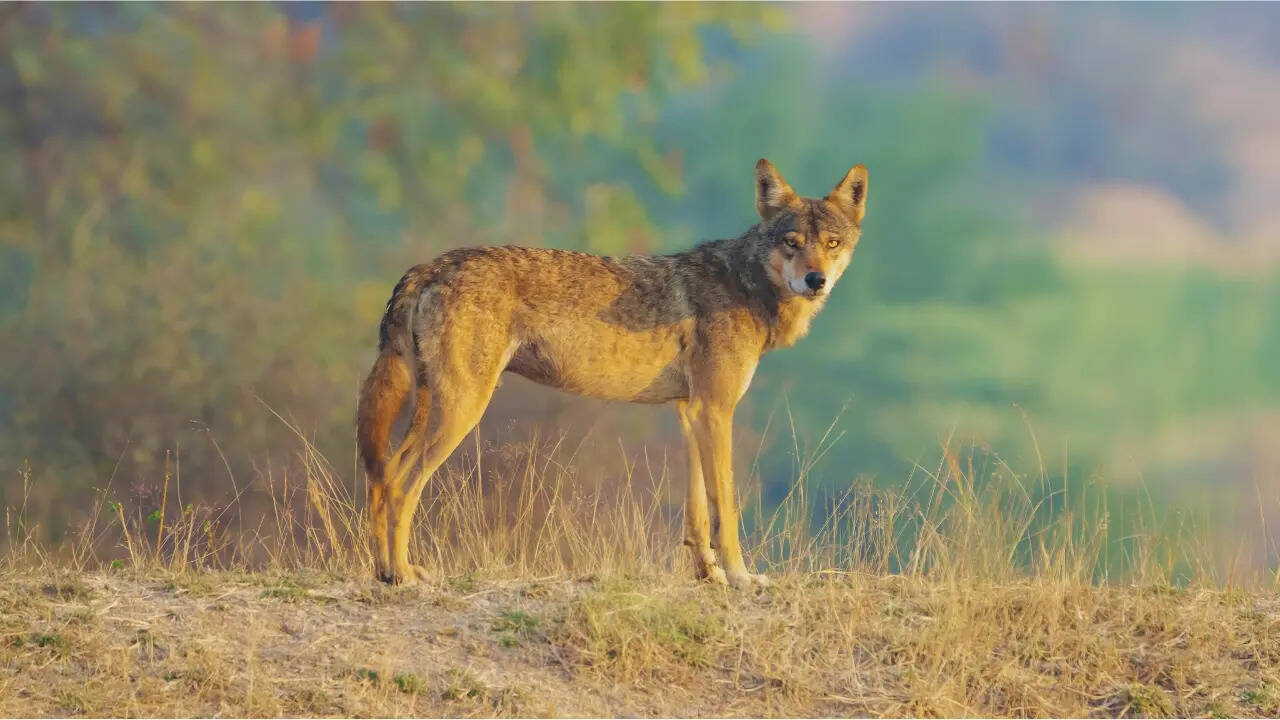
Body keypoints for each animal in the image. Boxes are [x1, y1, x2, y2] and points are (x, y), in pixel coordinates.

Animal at [356, 159, 868, 587]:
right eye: (791, 243)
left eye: (832, 244)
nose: (816, 280)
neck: (746, 284)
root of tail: (429, 266)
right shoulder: (716, 410)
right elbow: (726, 507)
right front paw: (742, 578)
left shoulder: (691, 413)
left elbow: (698, 511)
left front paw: (709, 575)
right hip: (462, 411)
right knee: (399, 485)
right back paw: (401, 575)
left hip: (434, 410)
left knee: (381, 478)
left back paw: (385, 571)